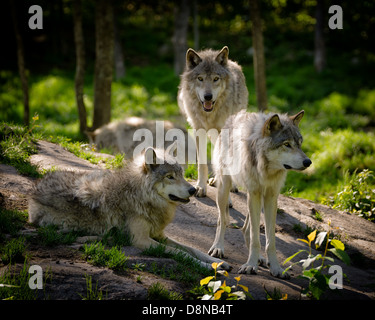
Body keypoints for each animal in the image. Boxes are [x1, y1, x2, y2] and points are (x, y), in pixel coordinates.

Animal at [29, 144, 231, 270]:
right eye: (170, 177)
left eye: (181, 174)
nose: (193, 190)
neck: (140, 195)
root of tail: (35, 189)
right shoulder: (142, 240)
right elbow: (181, 253)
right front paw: (208, 268)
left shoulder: (160, 235)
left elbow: (192, 249)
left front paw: (216, 262)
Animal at [179, 44, 250, 195]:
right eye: (200, 78)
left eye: (216, 79)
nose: (208, 96)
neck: (209, 114)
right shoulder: (198, 130)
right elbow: (202, 164)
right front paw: (200, 187)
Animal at [209, 110, 312, 278]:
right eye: (287, 144)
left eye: (299, 144)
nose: (308, 162)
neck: (266, 169)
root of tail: (232, 118)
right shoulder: (254, 193)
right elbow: (255, 238)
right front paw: (250, 265)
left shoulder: (270, 196)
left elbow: (270, 240)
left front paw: (275, 268)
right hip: (225, 189)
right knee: (222, 220)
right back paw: (218, 248)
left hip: (256, 199)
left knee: (245, 229)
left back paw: (260, 258)